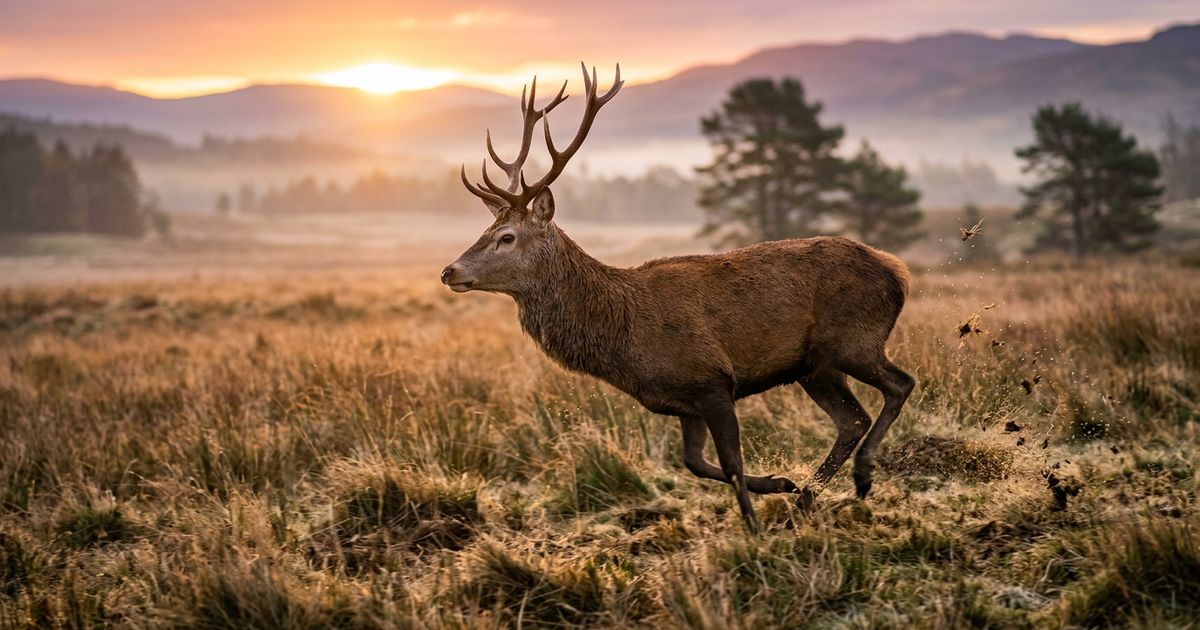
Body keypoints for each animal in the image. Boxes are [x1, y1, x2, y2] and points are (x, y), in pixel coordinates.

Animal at [440, 63, 915, 531]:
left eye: (506, 237)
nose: (450, 271)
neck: (624, 339)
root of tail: (897, 272)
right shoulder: (682, 402)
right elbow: (696, 464)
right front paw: (781, 483)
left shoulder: (713, 381)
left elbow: (731, 463)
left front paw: (752, 529)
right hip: (814, 366)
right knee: (852, 419)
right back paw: (807, 498)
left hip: (853, 339)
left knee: (900, 384)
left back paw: (862, 475)